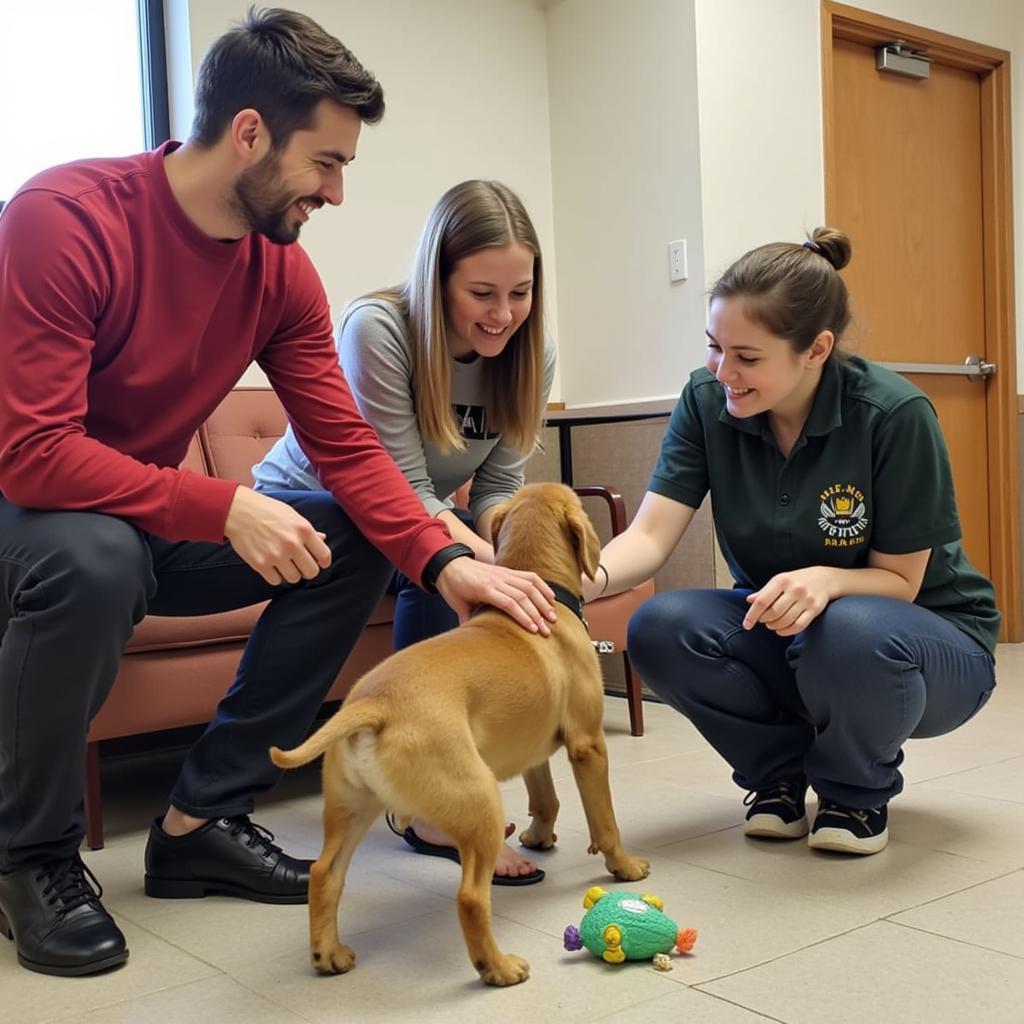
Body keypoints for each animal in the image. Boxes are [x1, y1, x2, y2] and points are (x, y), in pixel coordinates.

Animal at [272, 483, 647, 987]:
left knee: (324, 874)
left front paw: (538, 836)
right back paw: (498, 968)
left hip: (352, 805)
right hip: (478, 801)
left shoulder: (532, 751)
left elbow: (545, 798)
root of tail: (374, 704)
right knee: (470, 897)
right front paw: (623, 866)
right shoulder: (588, 746)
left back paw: (328, 954)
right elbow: (605, 822)